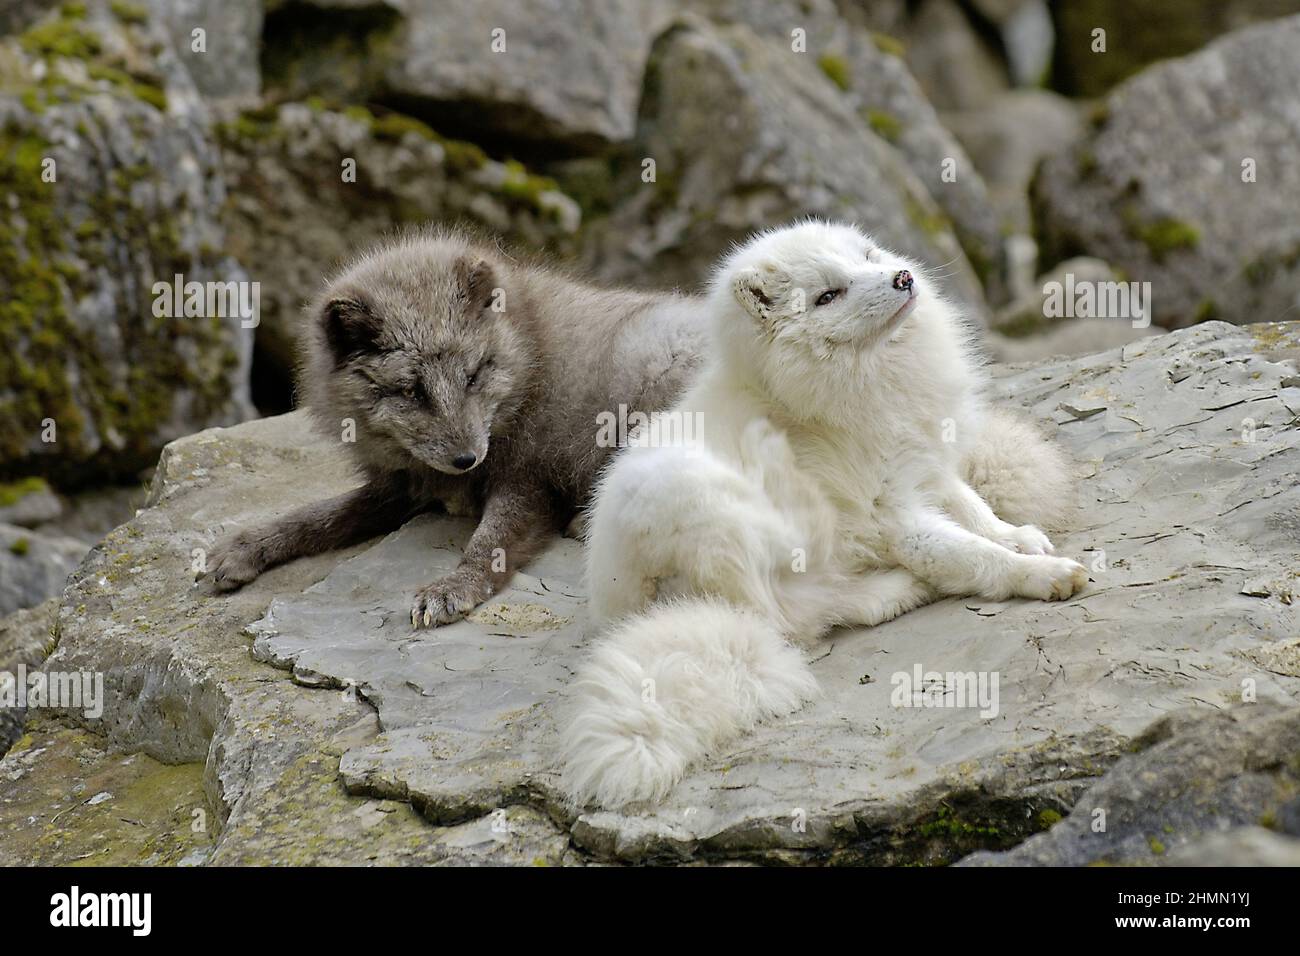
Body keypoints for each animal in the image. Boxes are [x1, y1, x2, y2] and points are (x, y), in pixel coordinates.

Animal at [203, 227, 707, 627]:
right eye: (411, 391)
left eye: (473, 375)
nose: (466, 459)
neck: (528, 354)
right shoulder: (405, 486)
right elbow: (315, 516)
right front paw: (245, 547)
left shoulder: (530, 480)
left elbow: (489, 542)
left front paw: (453, 587)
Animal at [559, 221, 1086, 809]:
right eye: (828, 296)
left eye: (868, 257)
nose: (903, 276)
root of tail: (618, 606)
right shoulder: (891, 518)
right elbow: (971, 555)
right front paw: (1042, 574)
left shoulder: (923, 466)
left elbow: (974, 508)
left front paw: (1019, 536)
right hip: (711, 507)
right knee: (796, 619)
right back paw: (896, 590)